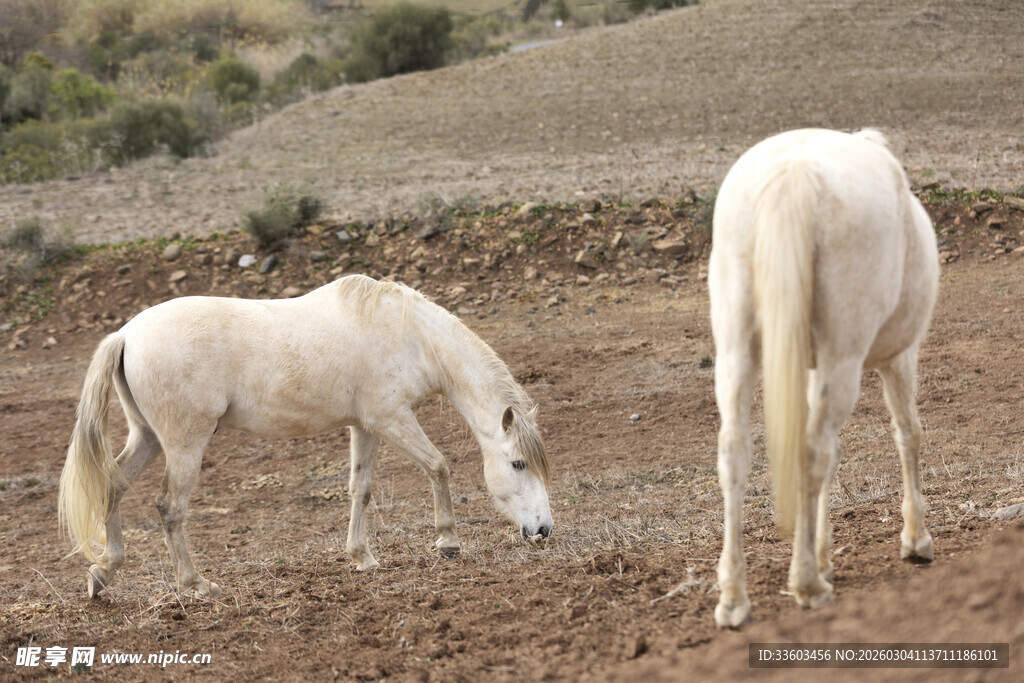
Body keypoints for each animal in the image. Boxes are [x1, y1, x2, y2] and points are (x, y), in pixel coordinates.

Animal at [59, 274, 552, 598]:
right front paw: (448, 542)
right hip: (184, 445)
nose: (543, 530)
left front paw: (362, 557)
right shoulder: (393, 419)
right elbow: (438, 465)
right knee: (169, 508)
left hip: (146, 438)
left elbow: (361, 488)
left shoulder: (366, 426)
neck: (409, 335)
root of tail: (126, 334)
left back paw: (104, 572)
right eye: (517, 464)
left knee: (112, 486)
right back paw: (196, 584)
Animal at [707, 129, 939, 627]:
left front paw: (823, 550)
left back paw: (734, 598)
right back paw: (807, 584)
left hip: (736, 353)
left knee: (735, 452)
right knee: (813, 451)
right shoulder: (899, 357)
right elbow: (907, 433)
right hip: (844, 357)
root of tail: (794, 172)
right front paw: (915, 538)